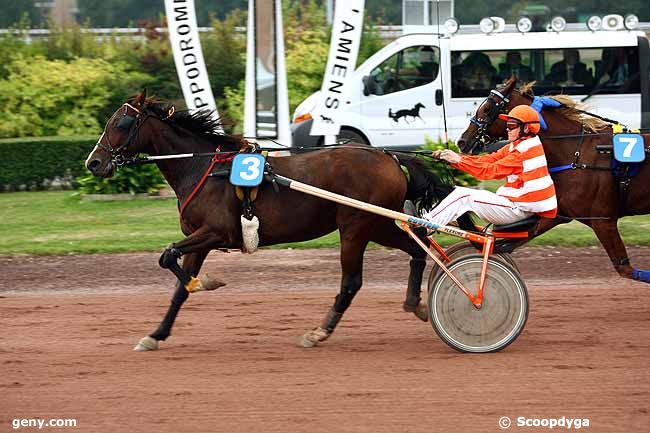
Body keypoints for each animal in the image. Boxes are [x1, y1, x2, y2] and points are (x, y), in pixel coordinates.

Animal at [86, 92, 470, 352]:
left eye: (120, 123)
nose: (94, 162)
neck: (205, 167)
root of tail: (389, 156)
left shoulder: (215, 232)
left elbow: (167, 256)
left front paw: (207, 282)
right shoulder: (201, 238)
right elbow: (179, 286)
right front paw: (156, 334)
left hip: (356, 227)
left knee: (352, 282)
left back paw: (320, 331)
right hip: (377, 223)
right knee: (418, 248)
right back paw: (415, 303)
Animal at [456, 76, 648, 282]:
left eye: (487, 109)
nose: (462, 141)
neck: (576, 153)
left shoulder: (603, 221)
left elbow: (626, 269)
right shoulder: (561, 213)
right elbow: (509, 242)